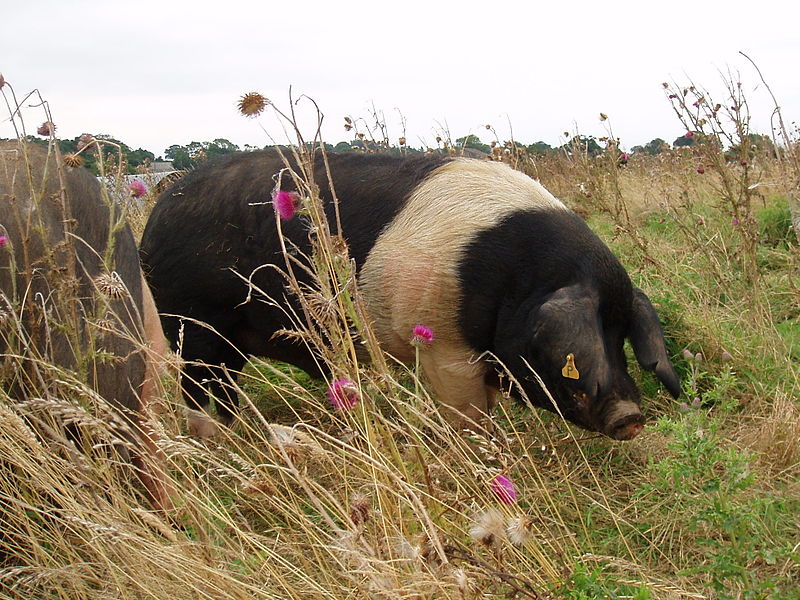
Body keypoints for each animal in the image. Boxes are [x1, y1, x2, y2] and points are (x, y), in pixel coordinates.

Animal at [141, 150, 680, 440]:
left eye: (622, 334)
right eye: (580, 347)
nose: (632, 417)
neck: (516, 278)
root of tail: (157, 214)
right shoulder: (444, 346)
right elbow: (469, 417)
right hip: (193, 325)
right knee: (200, 392)